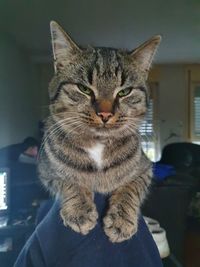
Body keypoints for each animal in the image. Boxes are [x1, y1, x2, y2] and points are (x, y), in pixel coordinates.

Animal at [38, 20, 161, 243]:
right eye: (84, 89)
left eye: (124, 92)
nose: (105, 114)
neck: (98, 145)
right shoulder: (46, 171)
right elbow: (67, 180)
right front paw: (79, 210)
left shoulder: (146, 168)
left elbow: (131, 187)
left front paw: (121, 218)